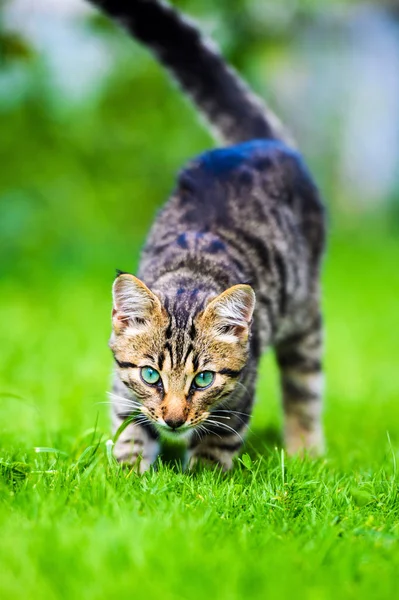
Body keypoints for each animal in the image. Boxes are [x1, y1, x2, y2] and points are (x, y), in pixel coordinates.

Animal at [90, 0, 328, 474]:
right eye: (151, 375)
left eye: (203, 379)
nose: (174, 419)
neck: (190, 272)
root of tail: (262, 143)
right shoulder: (123, 387)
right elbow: (129, 430)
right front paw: (126, 476)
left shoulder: (240, 393)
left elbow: (217, 445)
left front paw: (201, 482)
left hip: (304, 315)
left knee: (305, 387)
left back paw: (306, 451)